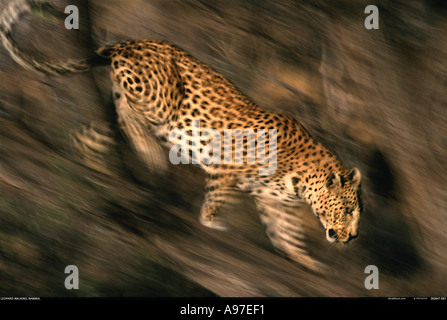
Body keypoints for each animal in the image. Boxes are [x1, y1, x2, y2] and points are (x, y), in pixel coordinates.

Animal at [0, 0, 364, 270]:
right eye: (348, 210)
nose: (351, 238)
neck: (302, 179)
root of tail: (131, 41)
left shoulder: (274, 202)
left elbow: (287, 234)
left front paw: (306, 261)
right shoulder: (227, 166)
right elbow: (219, 197)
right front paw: (211, 221)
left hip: (128, 112)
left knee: (94, 131)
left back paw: (97, 164)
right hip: (162, 98)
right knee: (131, 110)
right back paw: (148, 153)